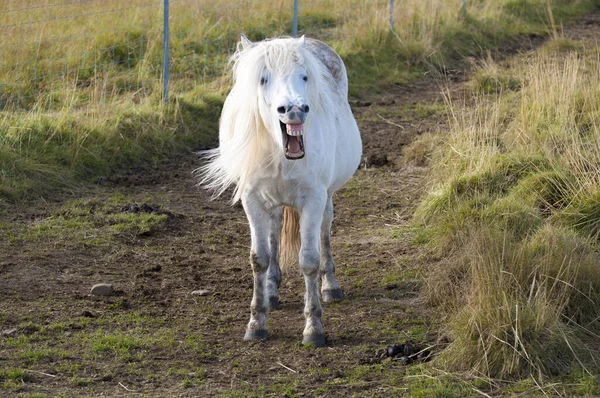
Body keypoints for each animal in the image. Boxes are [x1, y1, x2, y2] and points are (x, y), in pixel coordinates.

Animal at [200, 34, 360, 346]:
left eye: (304, 76)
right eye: (263, 79)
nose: (295, 110)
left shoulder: (313, 199)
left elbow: (309, 260)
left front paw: (314, 328)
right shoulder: (252, 200)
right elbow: (259, 258)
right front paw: (256, 323)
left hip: (325, 199)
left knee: (324, 233)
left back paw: (330, 286)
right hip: (271, 203)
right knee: (274, 233)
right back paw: (272, 291)